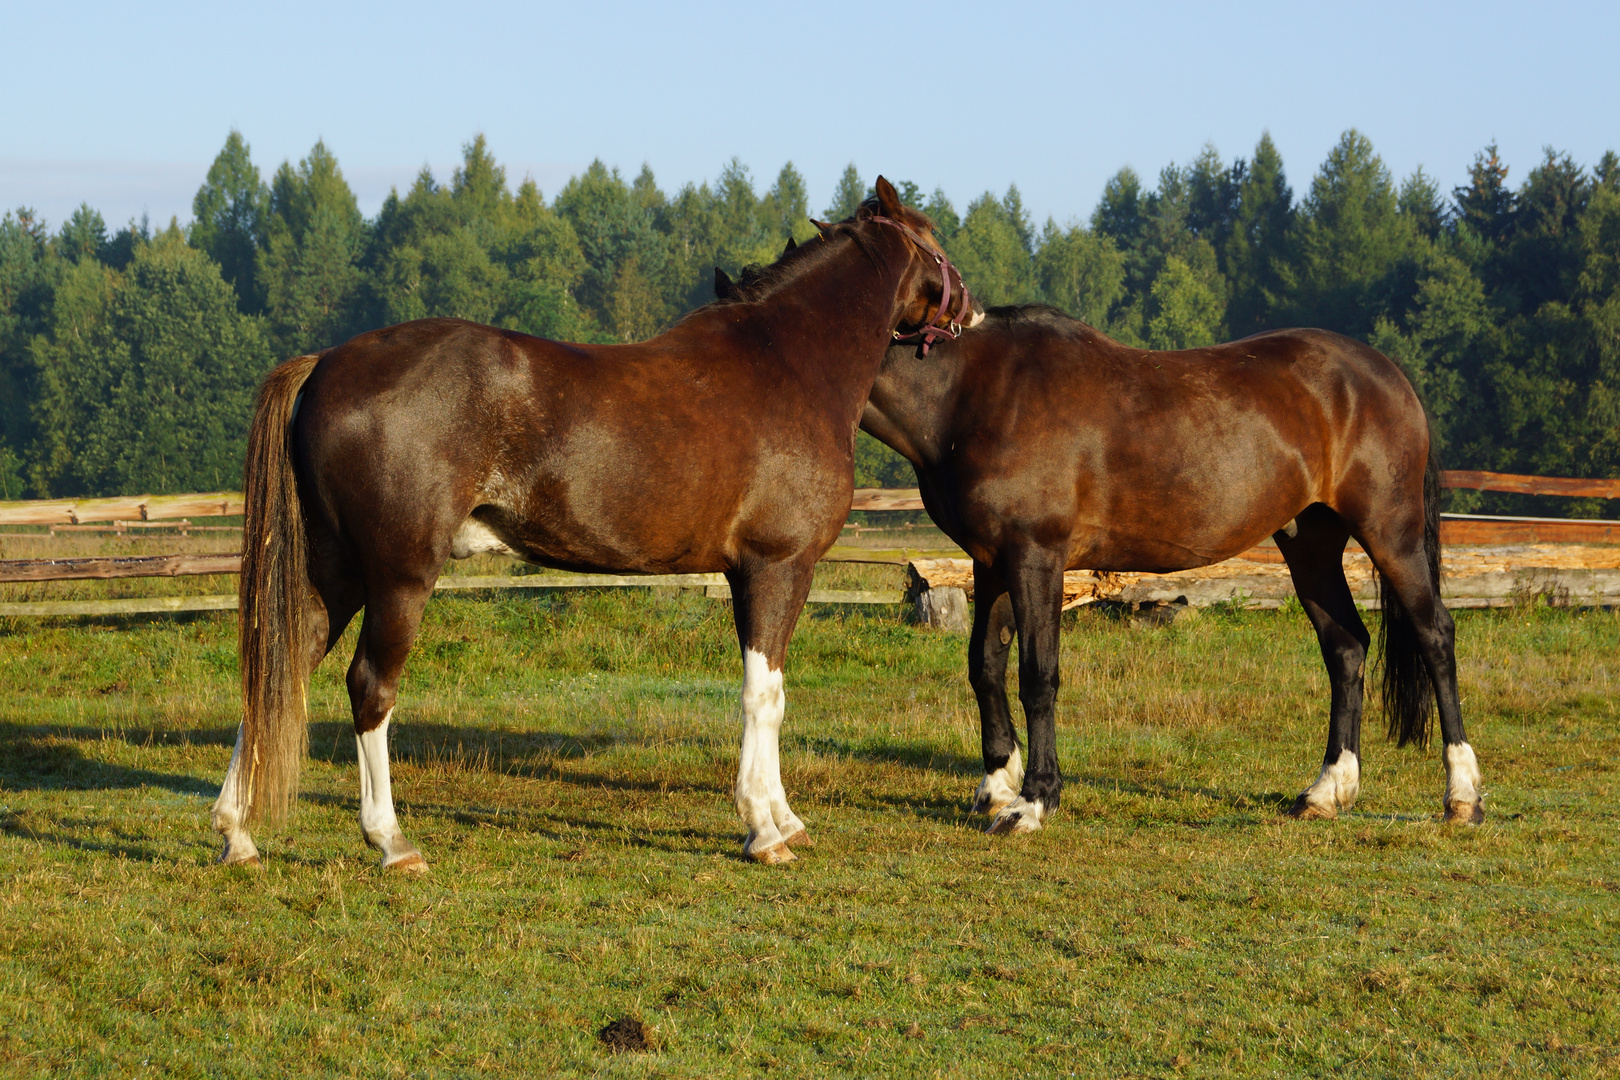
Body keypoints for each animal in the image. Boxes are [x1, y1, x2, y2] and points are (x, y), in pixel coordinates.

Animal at [208, 177, 978, 867]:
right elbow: (765, 697)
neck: (789, 362)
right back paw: (390, 841)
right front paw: (764, 828)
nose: (971, 310)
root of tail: (326, 364)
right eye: (936, 242)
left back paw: (237, 834)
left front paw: (784, 818)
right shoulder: (778, 567)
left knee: (279, 669)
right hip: (398, 576)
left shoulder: (746, 575)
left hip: (332, 572)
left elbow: (772, 695)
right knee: (368, 687)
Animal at [861, 307, 1483, 835]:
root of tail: (1386, 373)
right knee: (1347, 647)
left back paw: (1461, 797)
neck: (970, 392)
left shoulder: (1034, 557)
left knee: (1435, 636)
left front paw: (1032, 802)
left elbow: (1037, 676)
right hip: (1311, 545)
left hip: (1391, 536)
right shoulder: (991, 563)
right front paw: (994, 786)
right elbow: (985, 666)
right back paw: (1326, 790)